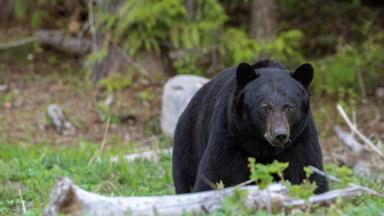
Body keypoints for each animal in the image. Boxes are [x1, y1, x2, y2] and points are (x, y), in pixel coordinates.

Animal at [172, 59, 328, 194]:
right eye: (264, 107)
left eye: (289, 107)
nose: (280, 134)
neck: (264, 148)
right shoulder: (230, 138)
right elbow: (215, 176)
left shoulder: (299, 141)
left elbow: (308, 173)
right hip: (188, 145)